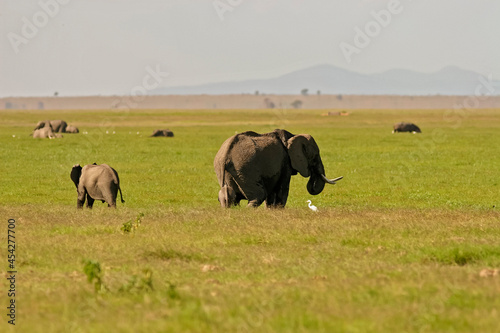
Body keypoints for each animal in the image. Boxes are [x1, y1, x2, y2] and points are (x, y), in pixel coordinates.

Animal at [215, 127, 344, 208]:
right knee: (258, 195)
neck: (293, 136)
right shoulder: (285, 162)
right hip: (245, 169)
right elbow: (282, 189)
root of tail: (225, 155)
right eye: (315, 156)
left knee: (229, 197)